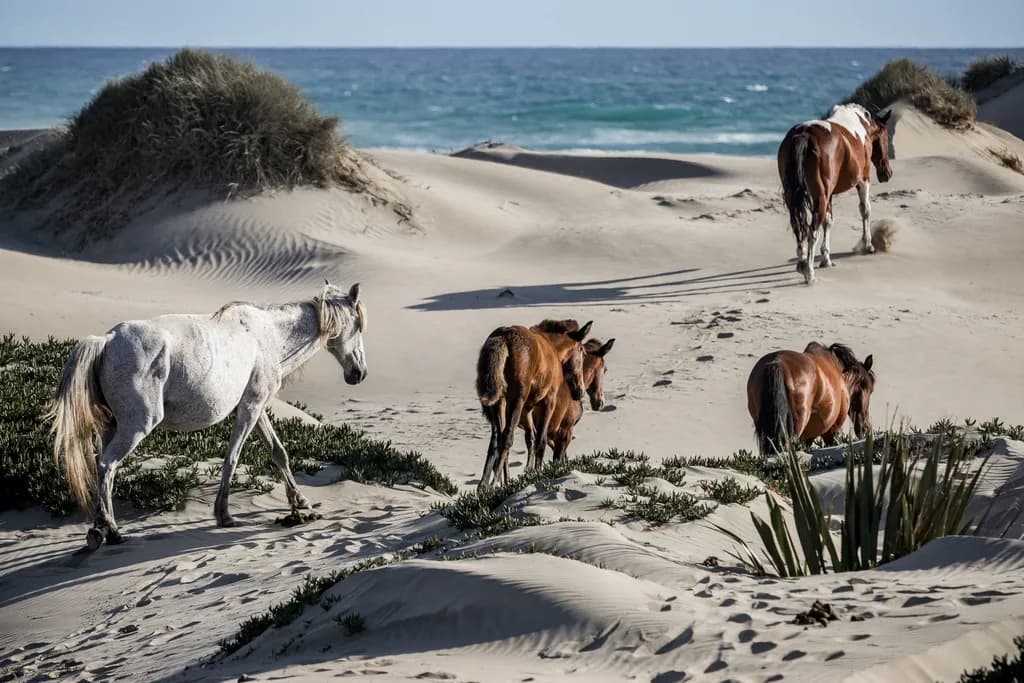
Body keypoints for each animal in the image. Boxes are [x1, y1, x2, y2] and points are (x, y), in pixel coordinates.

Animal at [46, 282, 368, 550]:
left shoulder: (256, 406)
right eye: (358, 327)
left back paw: (100, 528)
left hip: (111, 426)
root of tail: (106, 340)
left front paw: (299, 502)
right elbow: (233, 458)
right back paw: (111, 530)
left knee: (104, 469)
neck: (269, 336)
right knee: (107, 465)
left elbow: (279, 453)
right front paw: (224, 514)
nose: (359, 373)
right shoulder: (250, 407)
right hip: (136, 425)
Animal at [475, 319, 593, 490]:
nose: (580, 392)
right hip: (517, 398)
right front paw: (538, 474)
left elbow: (531, 438)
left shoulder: (528, 408)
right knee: (507, 437)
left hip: (498, 402)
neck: (553, 348)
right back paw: (494, 482)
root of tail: (503, 337)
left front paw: (528, 473)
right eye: (583, 352)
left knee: (496, 440)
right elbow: (540, 441)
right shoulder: (549, 400)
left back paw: (486, 485)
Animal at [778, 103, 893, 284]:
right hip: (821, 197)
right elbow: (865, 210)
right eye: (886, 137)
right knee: (812, 232)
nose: (887, 173)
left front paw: (826, 259)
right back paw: (809, 273)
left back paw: (802, 264)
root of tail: (804, 134)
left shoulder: (830, 194)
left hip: (798, 197)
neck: (862, 127)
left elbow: (828, 221)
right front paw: (868, 245)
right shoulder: (863, 179)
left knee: (799, 227)